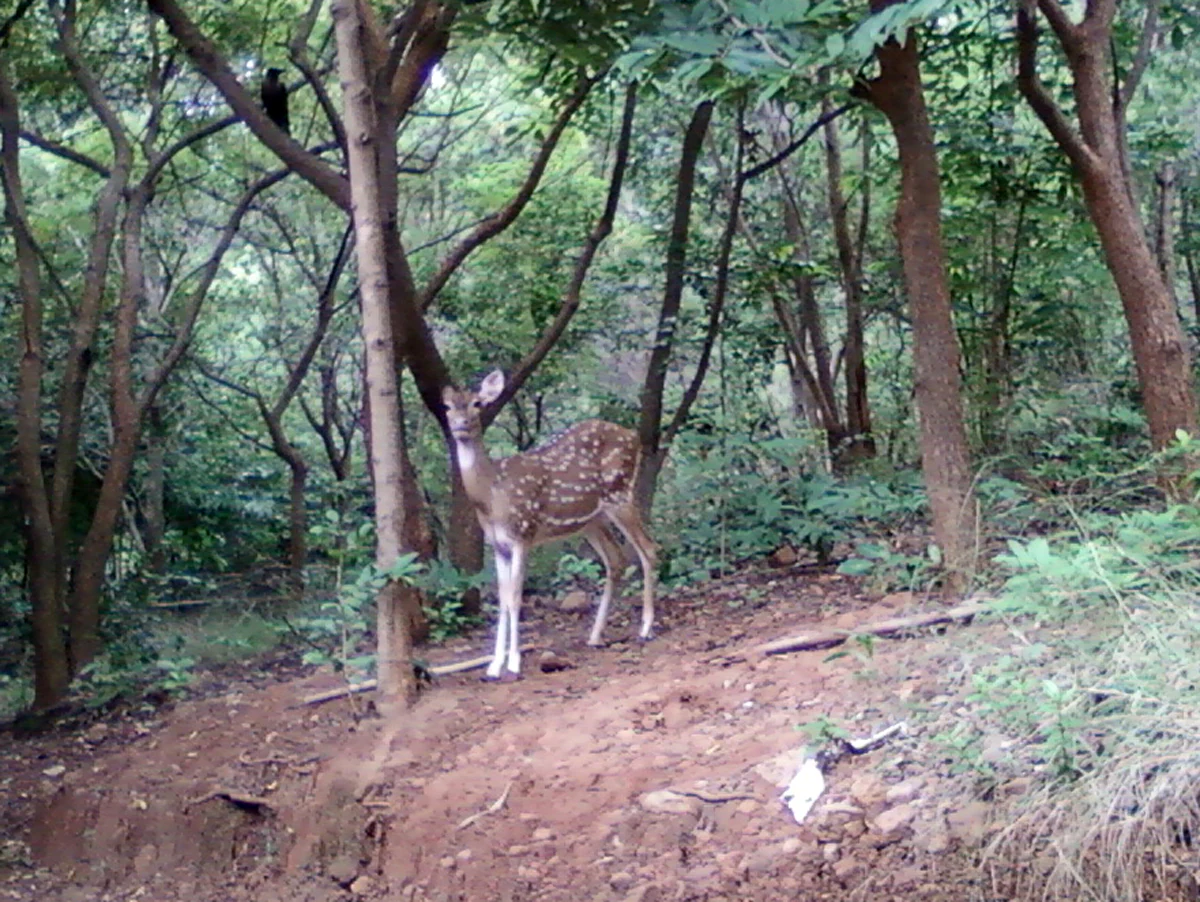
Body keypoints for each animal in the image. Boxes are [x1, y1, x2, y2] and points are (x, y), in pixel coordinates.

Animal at [442, 370, 658, 681]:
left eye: (477, 404)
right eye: (447, 406)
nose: (459, 425)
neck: (491, 494)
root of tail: (635, 437)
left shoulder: (524, 532)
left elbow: (515, 597)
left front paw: (514, 663)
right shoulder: (498, 544)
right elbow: (502, 598)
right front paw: (494, 666)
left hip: (619, 495)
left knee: (648, 549)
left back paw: (645, 628)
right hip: (590, 521)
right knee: (616, 559)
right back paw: (595, 636)